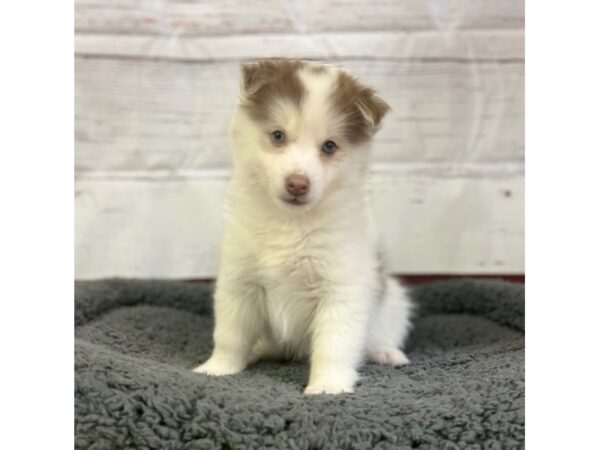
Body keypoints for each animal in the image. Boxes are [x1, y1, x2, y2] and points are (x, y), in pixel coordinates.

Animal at [196, 59, 412, 394]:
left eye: (329, 146)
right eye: (278, 135)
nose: (298, 184)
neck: (291, 221)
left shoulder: (341, 289)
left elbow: (333, 345)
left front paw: (328, 386)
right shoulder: (239, 281)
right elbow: (231, 334)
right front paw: (218, 369)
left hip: (395, 304)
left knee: (380, 335)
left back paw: (386, 353)